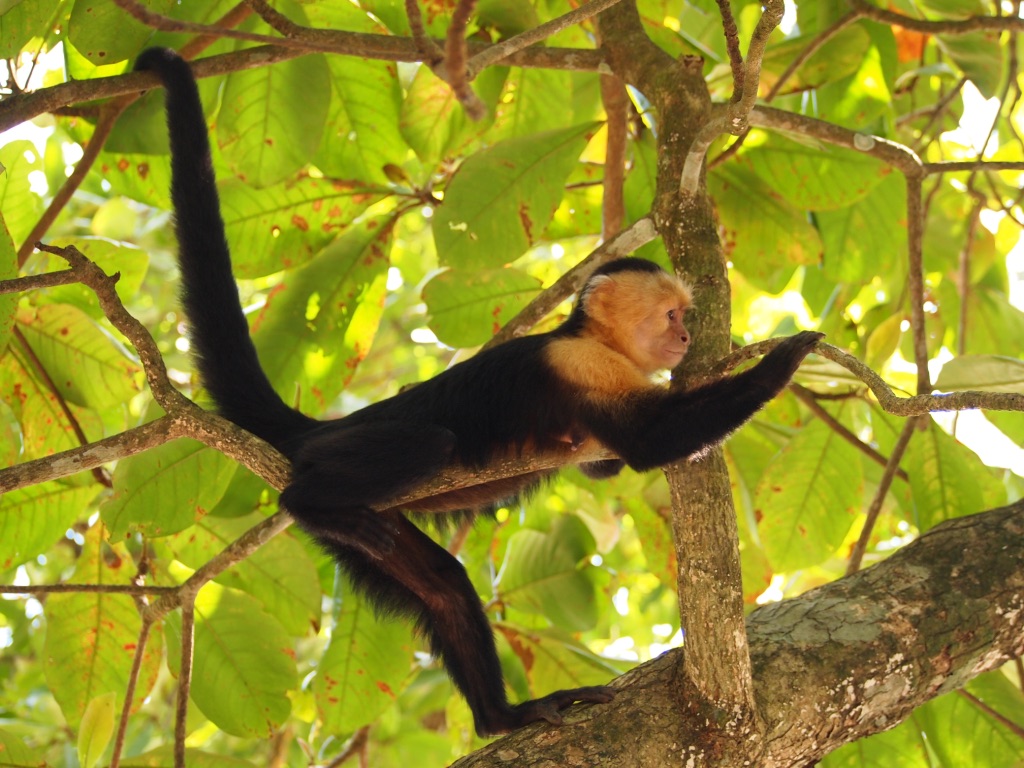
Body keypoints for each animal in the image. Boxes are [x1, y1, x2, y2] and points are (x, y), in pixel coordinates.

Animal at [134, 47, 823, 737]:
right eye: (671, 316)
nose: (684, 337)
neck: (596, 340)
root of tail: (323, 428)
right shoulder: (578, 362)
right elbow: (649, 442)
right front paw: (782, 364)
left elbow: (607, 462)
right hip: (345, 453)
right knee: (424, 448)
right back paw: (309, 503)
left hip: (377, 522)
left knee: (442, 584)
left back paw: (502, 715)